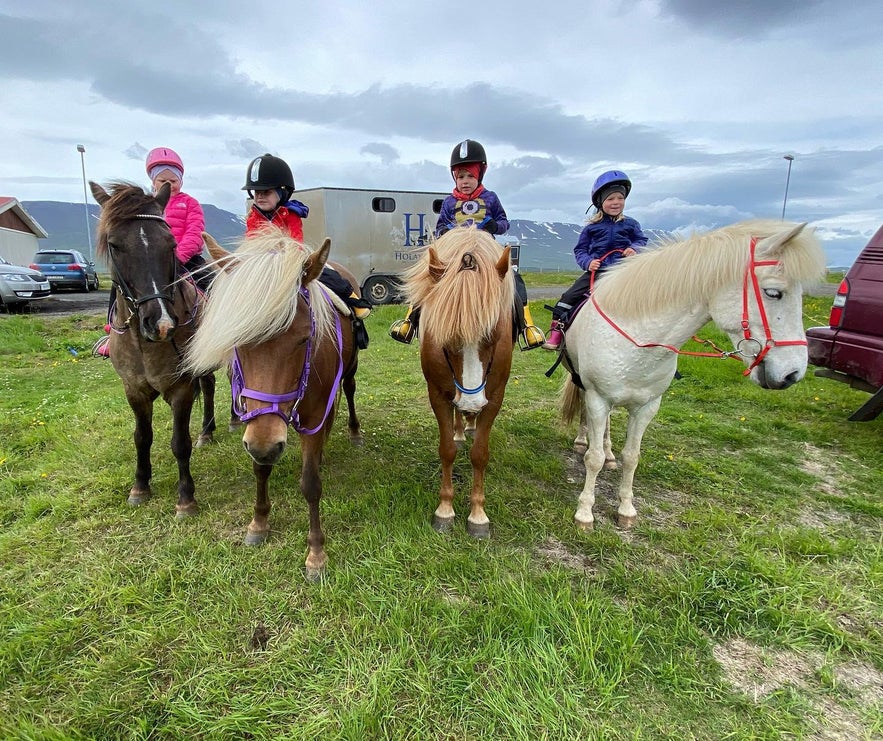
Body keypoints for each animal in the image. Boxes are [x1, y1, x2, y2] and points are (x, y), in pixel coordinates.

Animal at [89, 181, 217, 516]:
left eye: (170, 243)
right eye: (114, 245)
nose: (160, 323)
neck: (143, 343)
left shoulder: (181, 388)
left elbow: (179, 442)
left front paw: (185, 498)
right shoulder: (133, 390)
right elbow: (142, 437)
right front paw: (140, 486)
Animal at [185, 231, 364, 580]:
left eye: (304, 338)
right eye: (237, 339)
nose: (266, 445)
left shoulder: (311, 416)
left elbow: (310, 484)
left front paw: (316, 553)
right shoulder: (257, 424)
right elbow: (260, 469)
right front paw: (259, 522)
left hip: (349, 371)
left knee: (348, 392)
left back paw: (354, 432)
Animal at [398, 227, 516, 536]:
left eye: (493, 334)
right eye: (446, 340)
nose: (472, 401)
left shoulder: (495, 396)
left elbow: (480, 454)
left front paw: (478, 514)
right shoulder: (438, 394)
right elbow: (447, 450)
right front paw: (445, 509)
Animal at [560, 217, 828, 528]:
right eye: (774, 292)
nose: (793, 374)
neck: (640, 340)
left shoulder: (648, 406)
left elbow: (632, 457)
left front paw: (626, 508)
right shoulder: (598, 398)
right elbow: (594, 459)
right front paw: (585, 513)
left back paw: (609, 451)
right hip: (584, 384)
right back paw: (582, 440)